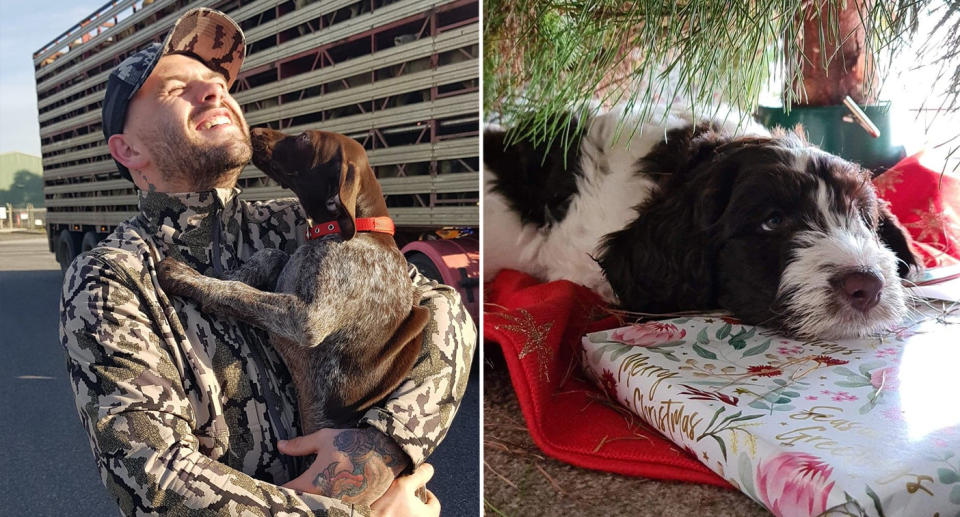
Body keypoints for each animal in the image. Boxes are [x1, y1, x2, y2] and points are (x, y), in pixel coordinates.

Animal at [158, 128, 428, 432]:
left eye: (304, 138)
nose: (255, 130)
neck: (358, 229)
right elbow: (270, 255)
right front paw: (231, 271)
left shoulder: (306, 319)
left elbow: (239, 291)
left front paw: (188, 277)